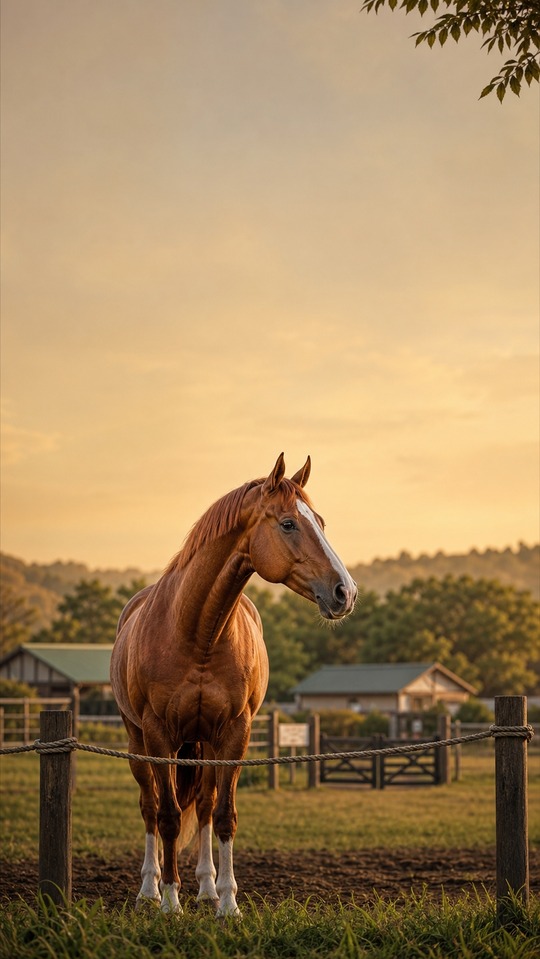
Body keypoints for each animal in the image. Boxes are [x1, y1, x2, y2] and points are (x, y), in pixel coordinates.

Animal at [110, 453, 357, 916]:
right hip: (138, 743)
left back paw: (206, 886)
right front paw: (171, 902)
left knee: (205, 808)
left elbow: (224, 815)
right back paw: (149, 889)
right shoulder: (157, 735)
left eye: (320, 521)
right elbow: (168, 816)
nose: (345, 592)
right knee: (150, 808)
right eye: (288, 524)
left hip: (205, 743)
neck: (196, 633)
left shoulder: (234, 734)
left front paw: (227, 902)